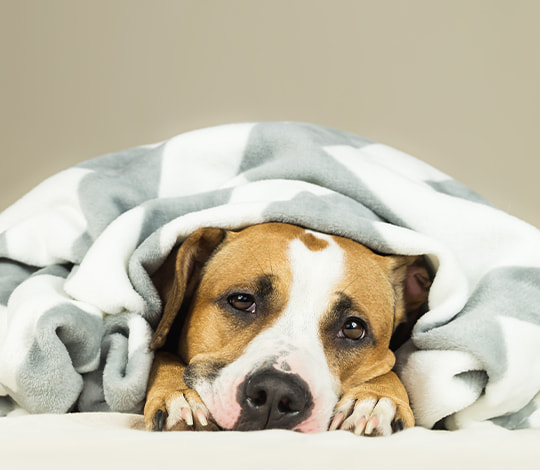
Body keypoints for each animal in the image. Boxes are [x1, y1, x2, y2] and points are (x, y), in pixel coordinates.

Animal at [143, 222, 430, 436]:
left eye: (352, 328)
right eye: (242, 300)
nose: (275, 391)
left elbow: (389, 369)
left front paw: (377, 399)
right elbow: (161, 355)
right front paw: (179, 396)